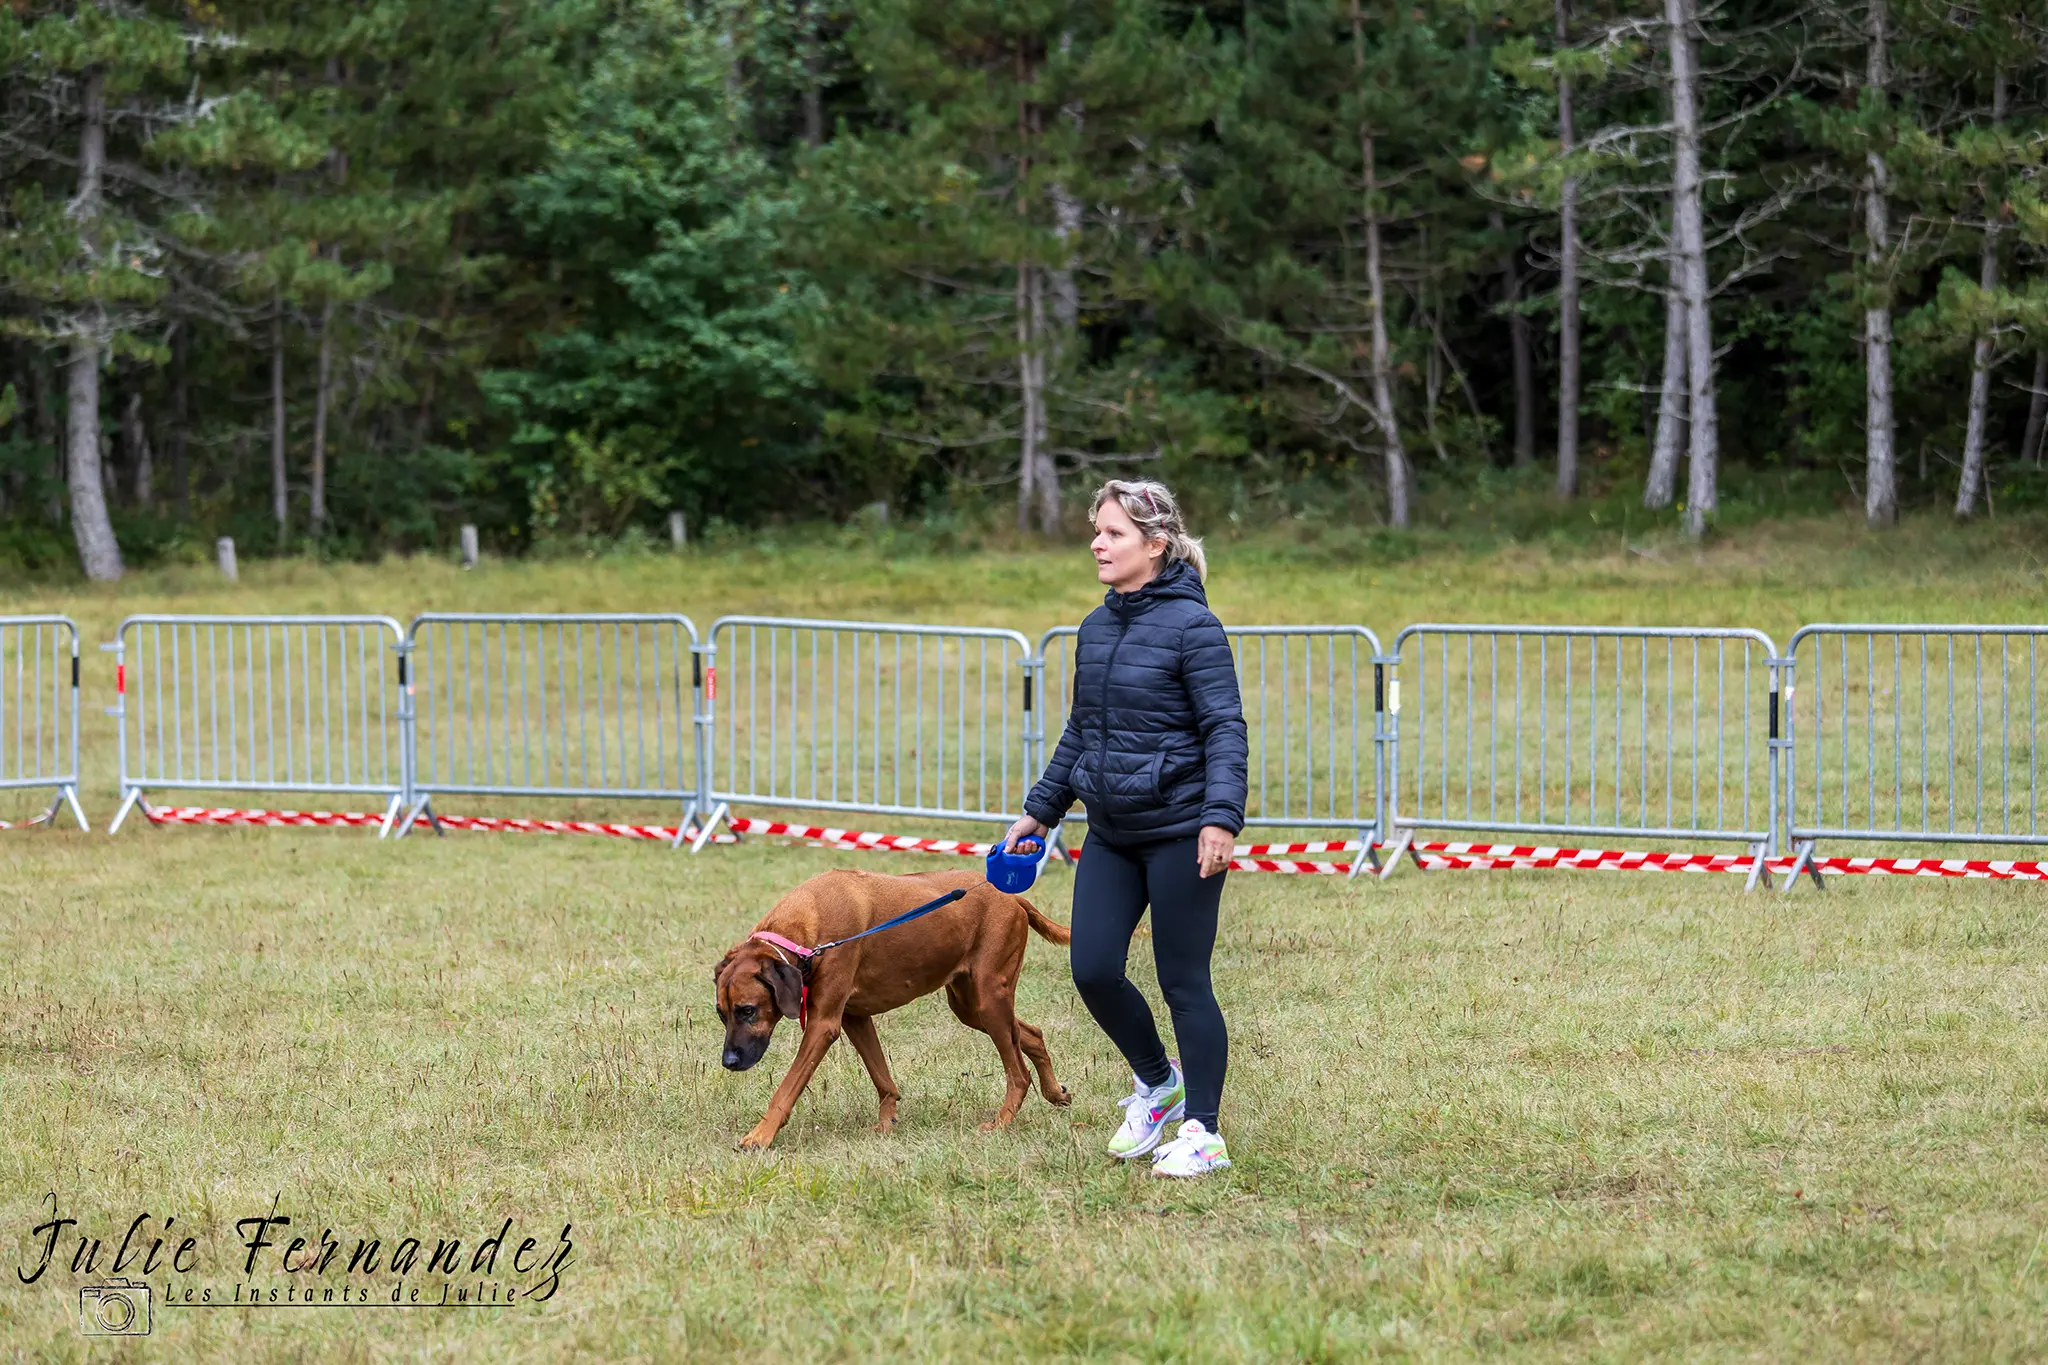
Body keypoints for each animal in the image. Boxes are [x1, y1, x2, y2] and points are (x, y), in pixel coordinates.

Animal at [716, 871, 1073, 1146]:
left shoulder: (823, 1024)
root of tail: (1012, 898)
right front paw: (887, 1122)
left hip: (989, 998)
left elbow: (786, 1088)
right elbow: (882, 1077)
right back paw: (1055, 1093)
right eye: (722, 1014)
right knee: (1031, 1034)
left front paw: (760, 1136)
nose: (728, 1062)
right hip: (970, 1006)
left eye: (748, 1010)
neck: (805, 936)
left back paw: (1002, 1122)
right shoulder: (855, 1017)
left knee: (1019, 1074)